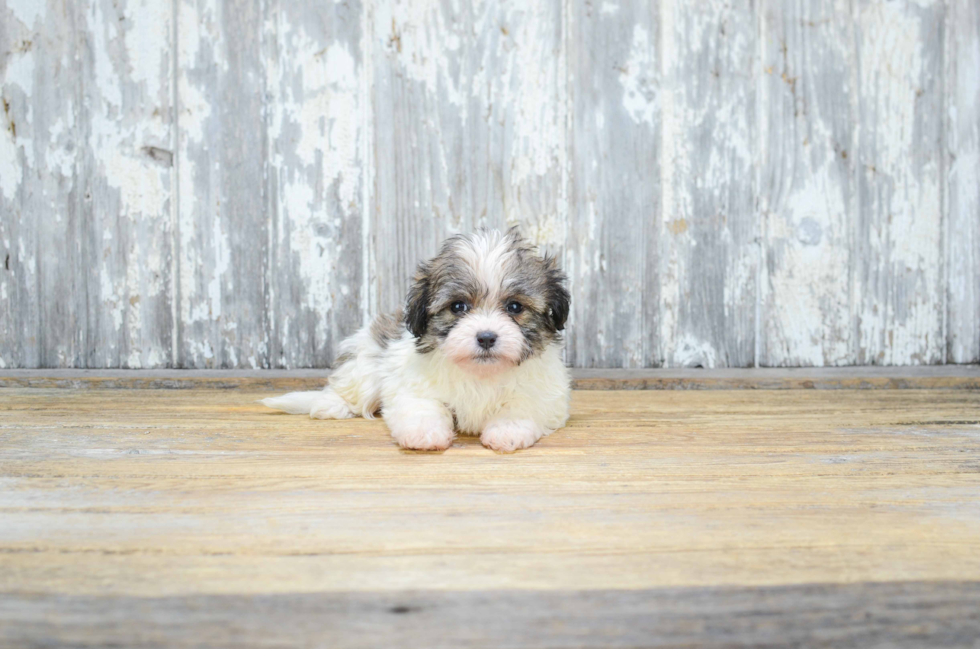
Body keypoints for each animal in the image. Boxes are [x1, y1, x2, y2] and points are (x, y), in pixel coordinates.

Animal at [260, 228, 576, 450]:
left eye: (514, 307)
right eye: (458, 306)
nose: (486, 337)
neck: (480, 373)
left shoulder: (544, 393)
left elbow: (522, 406)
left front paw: (507, 430)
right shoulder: (411, 385)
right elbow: (423, 406)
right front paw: (425, 433)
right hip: (366, 362)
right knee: (350, 388)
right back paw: (332, 405)